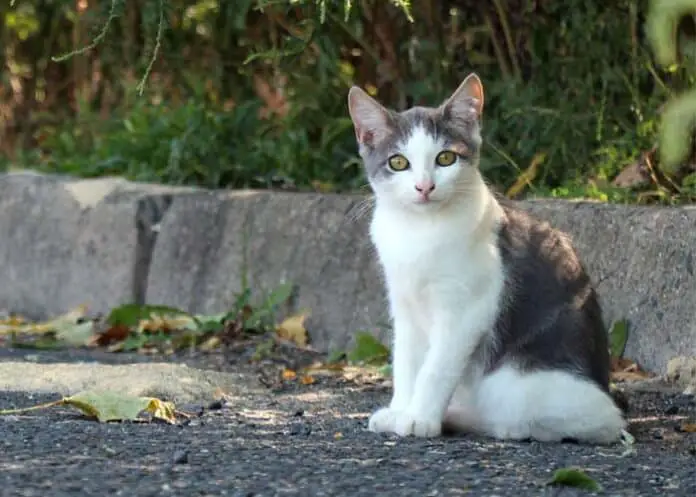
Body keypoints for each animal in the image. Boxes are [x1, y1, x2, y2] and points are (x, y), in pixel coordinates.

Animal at [346, 72, 624, 442]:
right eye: (398, 162)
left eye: (445, 158)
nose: (424, 187)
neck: (420, 232)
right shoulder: (404, 304)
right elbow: (405, 362)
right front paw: (400, 410)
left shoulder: (469, 309)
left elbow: (436, 368)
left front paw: (419, 418)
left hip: (521, 386)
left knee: (533, 419)